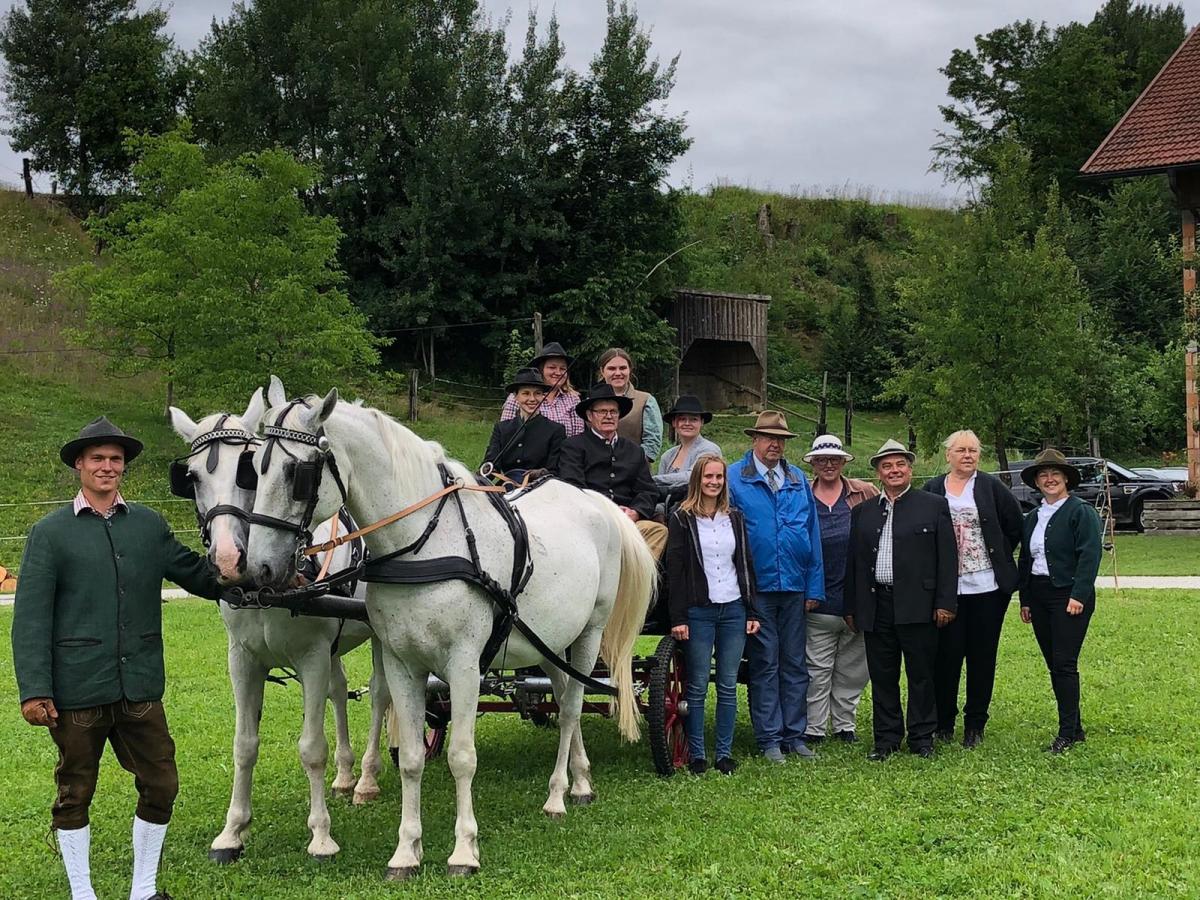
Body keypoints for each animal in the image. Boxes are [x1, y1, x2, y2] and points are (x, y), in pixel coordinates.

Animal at [169, 391, 391, 864]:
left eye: (247, 470)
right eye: (191, 477)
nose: (229, 559)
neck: (266, 589)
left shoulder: (311, 656)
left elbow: (311, 748)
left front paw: (321, 835)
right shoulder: (243, 659)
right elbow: (244, 745)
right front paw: (232, 831)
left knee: (381, 695)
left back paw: (365, 778)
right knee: (339, 691)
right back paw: (345, 775)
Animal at [243, 381, 657, 883]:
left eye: (296, 472)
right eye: (253, 469)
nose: (258, 567)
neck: (422, 545)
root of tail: (596, 501)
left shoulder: (463, 665)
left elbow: (462, 756)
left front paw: (463, 851)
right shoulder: (403, 663)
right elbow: (412, 759)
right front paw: (406, 852)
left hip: (589, 633)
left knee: (573, 708)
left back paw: (559, 794)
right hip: (552, 642)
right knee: (563, 700)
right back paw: (581, 779)